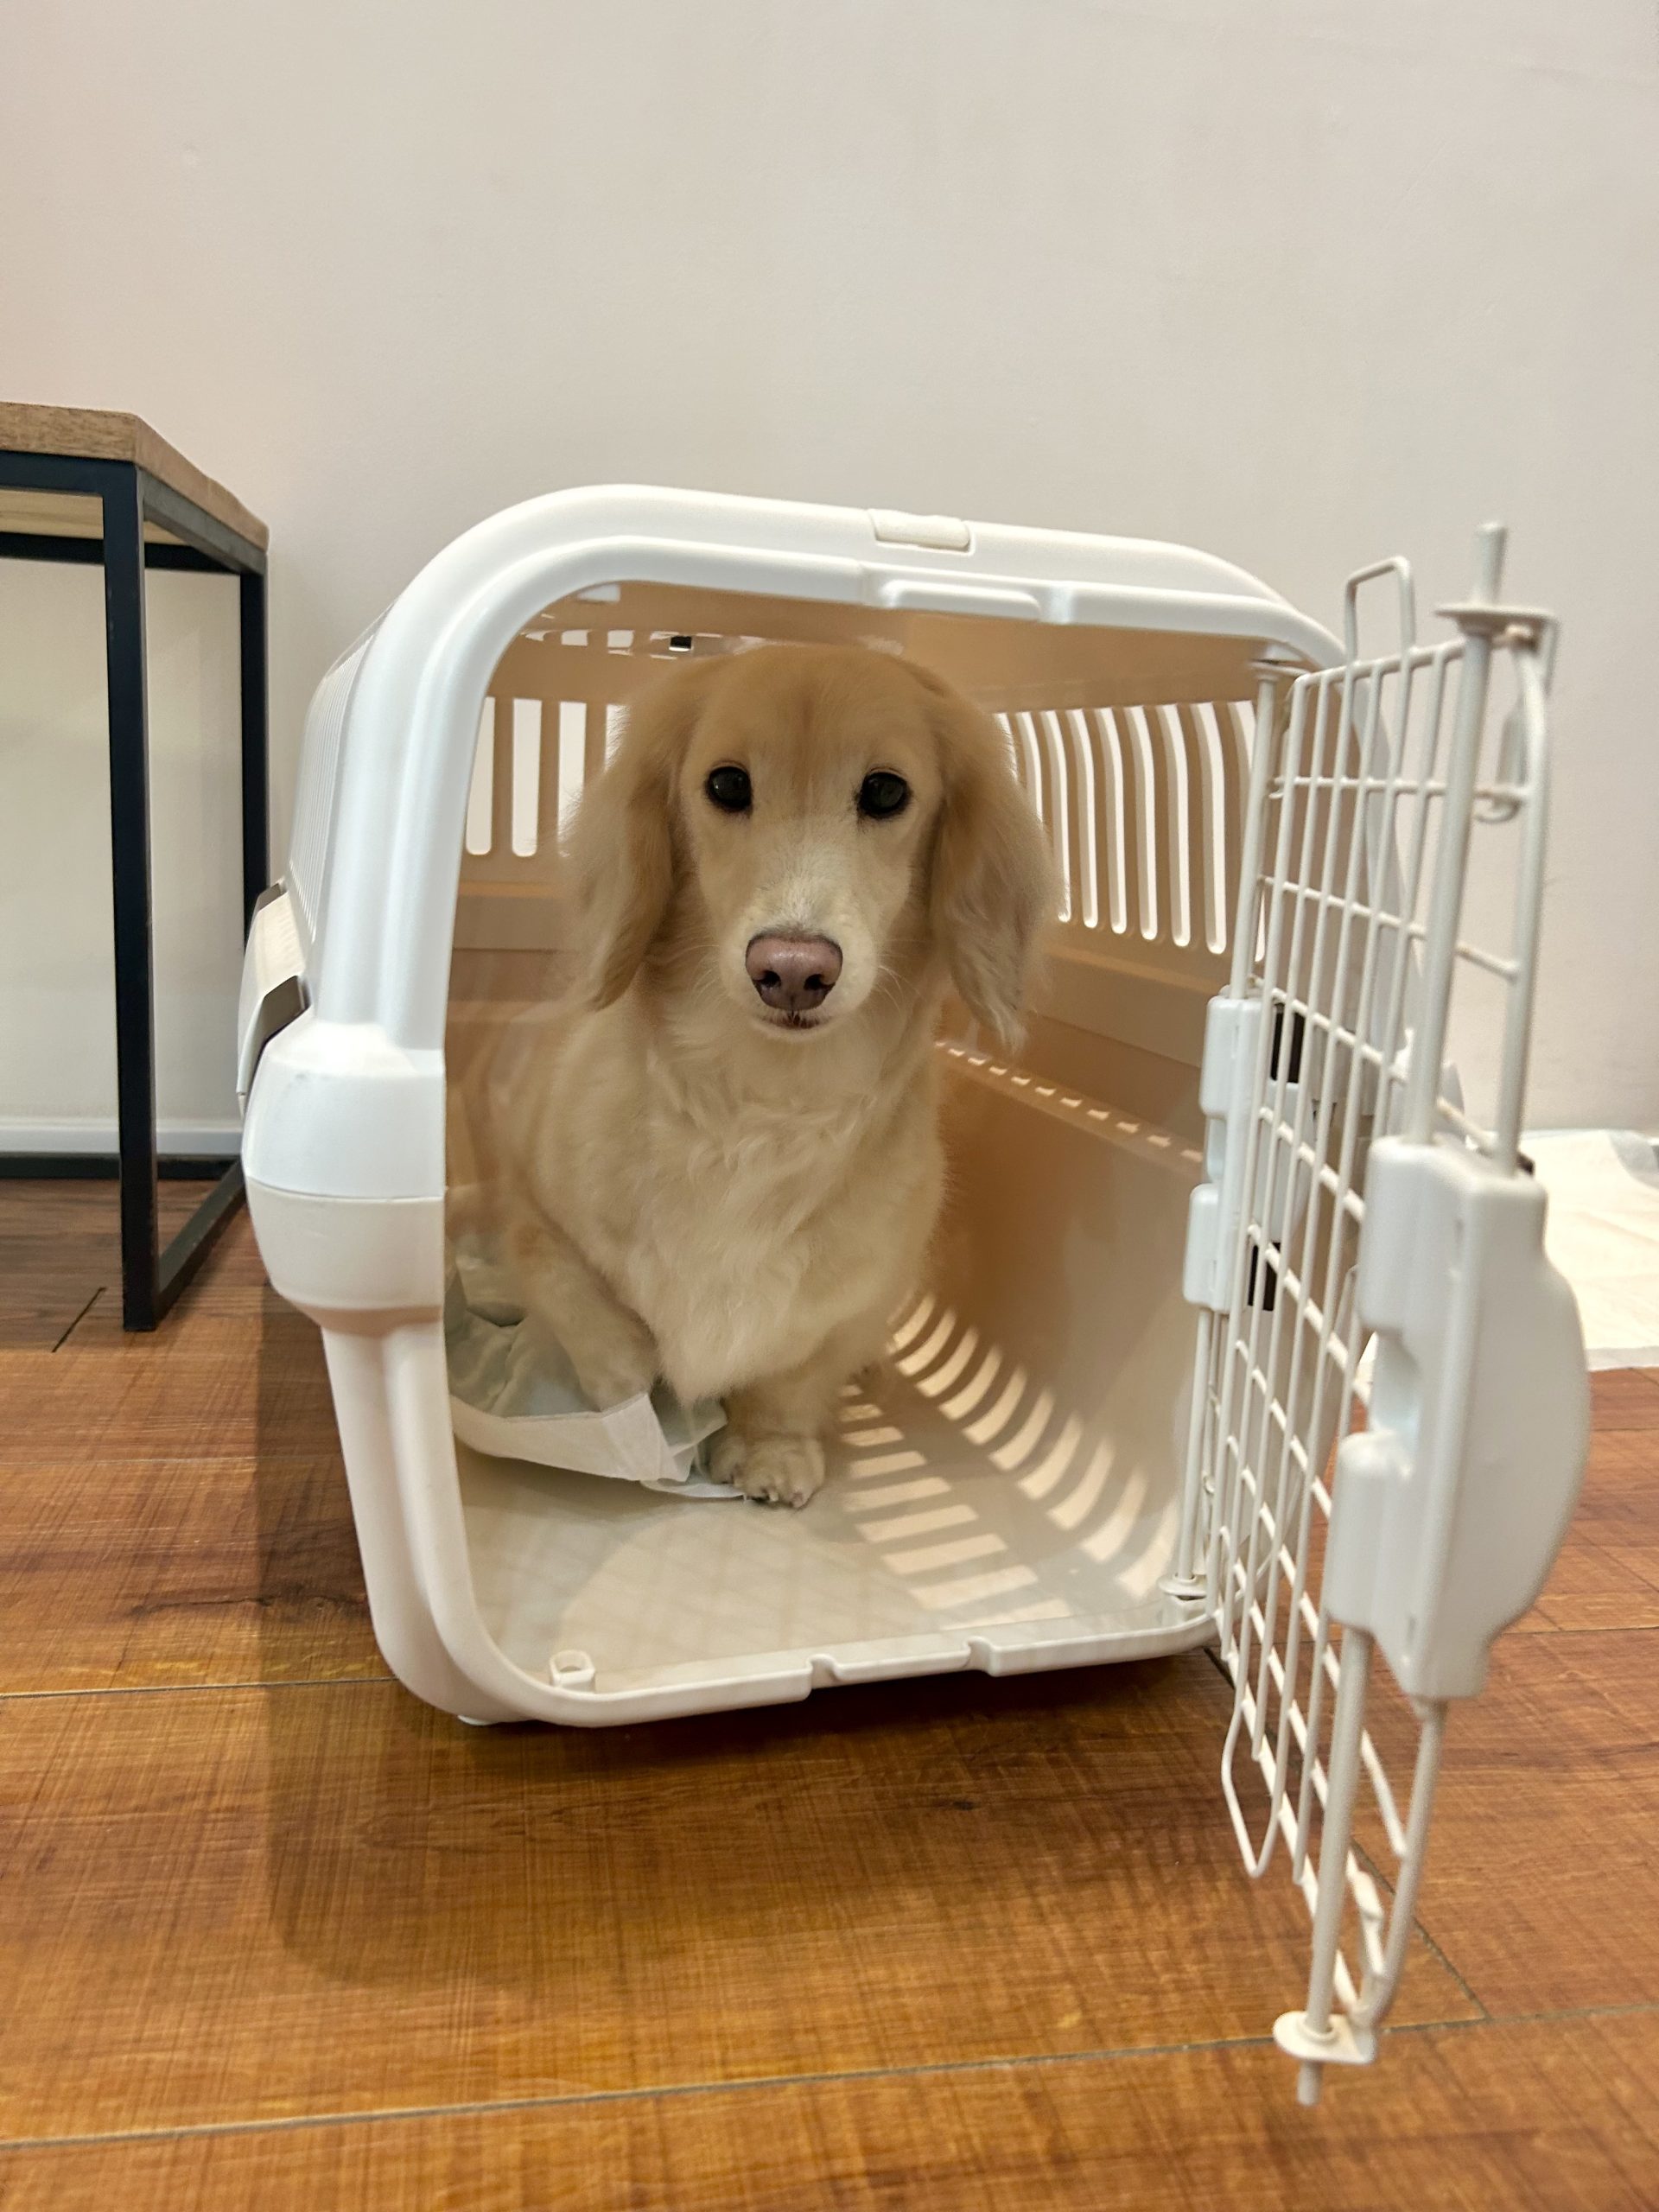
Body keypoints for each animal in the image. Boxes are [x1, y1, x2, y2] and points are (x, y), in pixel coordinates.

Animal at [496, 641, 1053, 1506]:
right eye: (726, 785)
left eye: (886, 791)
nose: (792, 969)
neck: (763, 1105)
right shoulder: (526, 1205)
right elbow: (578, 1297)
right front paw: (631, 1379)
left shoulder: (853, 1300)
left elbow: (792, 1376)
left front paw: (771, 1448)